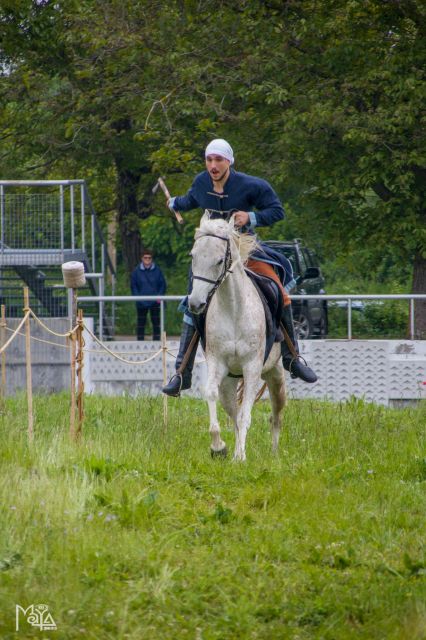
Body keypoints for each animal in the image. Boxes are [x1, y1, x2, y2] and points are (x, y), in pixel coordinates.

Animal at [188, 213, 286, 462]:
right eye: (193, 256)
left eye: (219, 260)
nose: (195, 303)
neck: (233, 309)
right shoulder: (217, 365)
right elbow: (212, 395)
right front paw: (218, 446)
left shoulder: (252, 368)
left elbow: (245, 415)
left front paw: (240, 456)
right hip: (229, 382)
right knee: (233, 412)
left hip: (275, 375)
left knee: (276, 415)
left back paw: (274, 453)